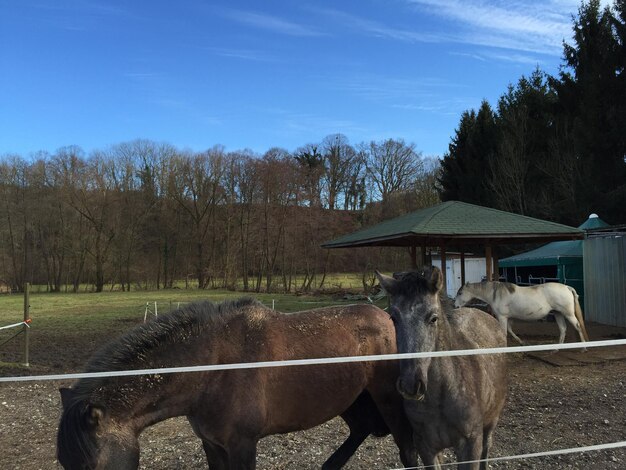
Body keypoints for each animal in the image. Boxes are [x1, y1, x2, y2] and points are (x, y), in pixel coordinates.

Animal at [54, 298, 414, 470]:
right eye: (63, 462)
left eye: (89, 464)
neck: (214, 371)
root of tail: (386, 316)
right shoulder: (212, 444)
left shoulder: (242, 444)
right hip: (352, 398)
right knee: (361, 429)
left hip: (387, 398)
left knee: (407, 450)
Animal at [376, 268, 508, 470]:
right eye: (393, 318)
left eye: (433, 318)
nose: (411, 385)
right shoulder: (425, 447)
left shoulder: (470, 446)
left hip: (491, 421)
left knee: (487, 448)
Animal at [454, 280, 584, 346]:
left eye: (460, 293)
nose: (455, 306)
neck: (496, 294)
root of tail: (567, 287)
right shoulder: (509, 318)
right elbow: (510, 330)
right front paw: (521, 342)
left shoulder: (502, 317)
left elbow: (504, 332)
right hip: (558, 313)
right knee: (563, 329)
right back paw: (556, 349)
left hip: (567, 313)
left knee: (578, 326)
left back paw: (583, 347)